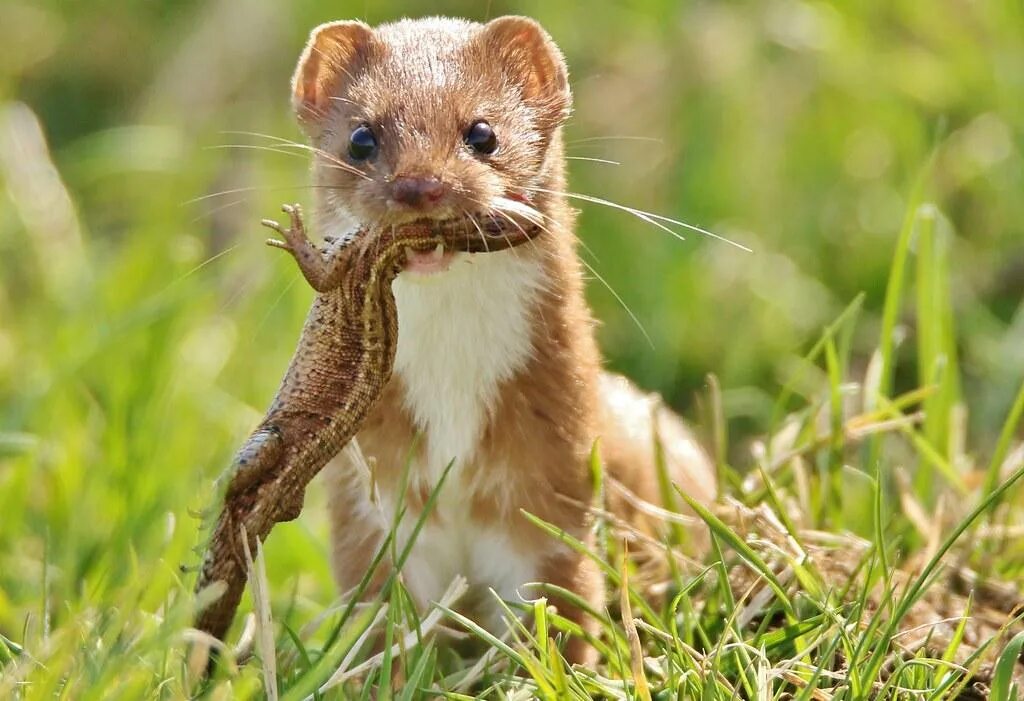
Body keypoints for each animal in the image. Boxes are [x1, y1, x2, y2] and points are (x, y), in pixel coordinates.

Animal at [288, 13, 716, 663]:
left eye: (483, 132)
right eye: (361, 136)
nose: (419, 186)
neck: (453, 399)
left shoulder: (555, 473)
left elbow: (560, 603)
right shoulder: (369, 503)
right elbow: (382, 616)